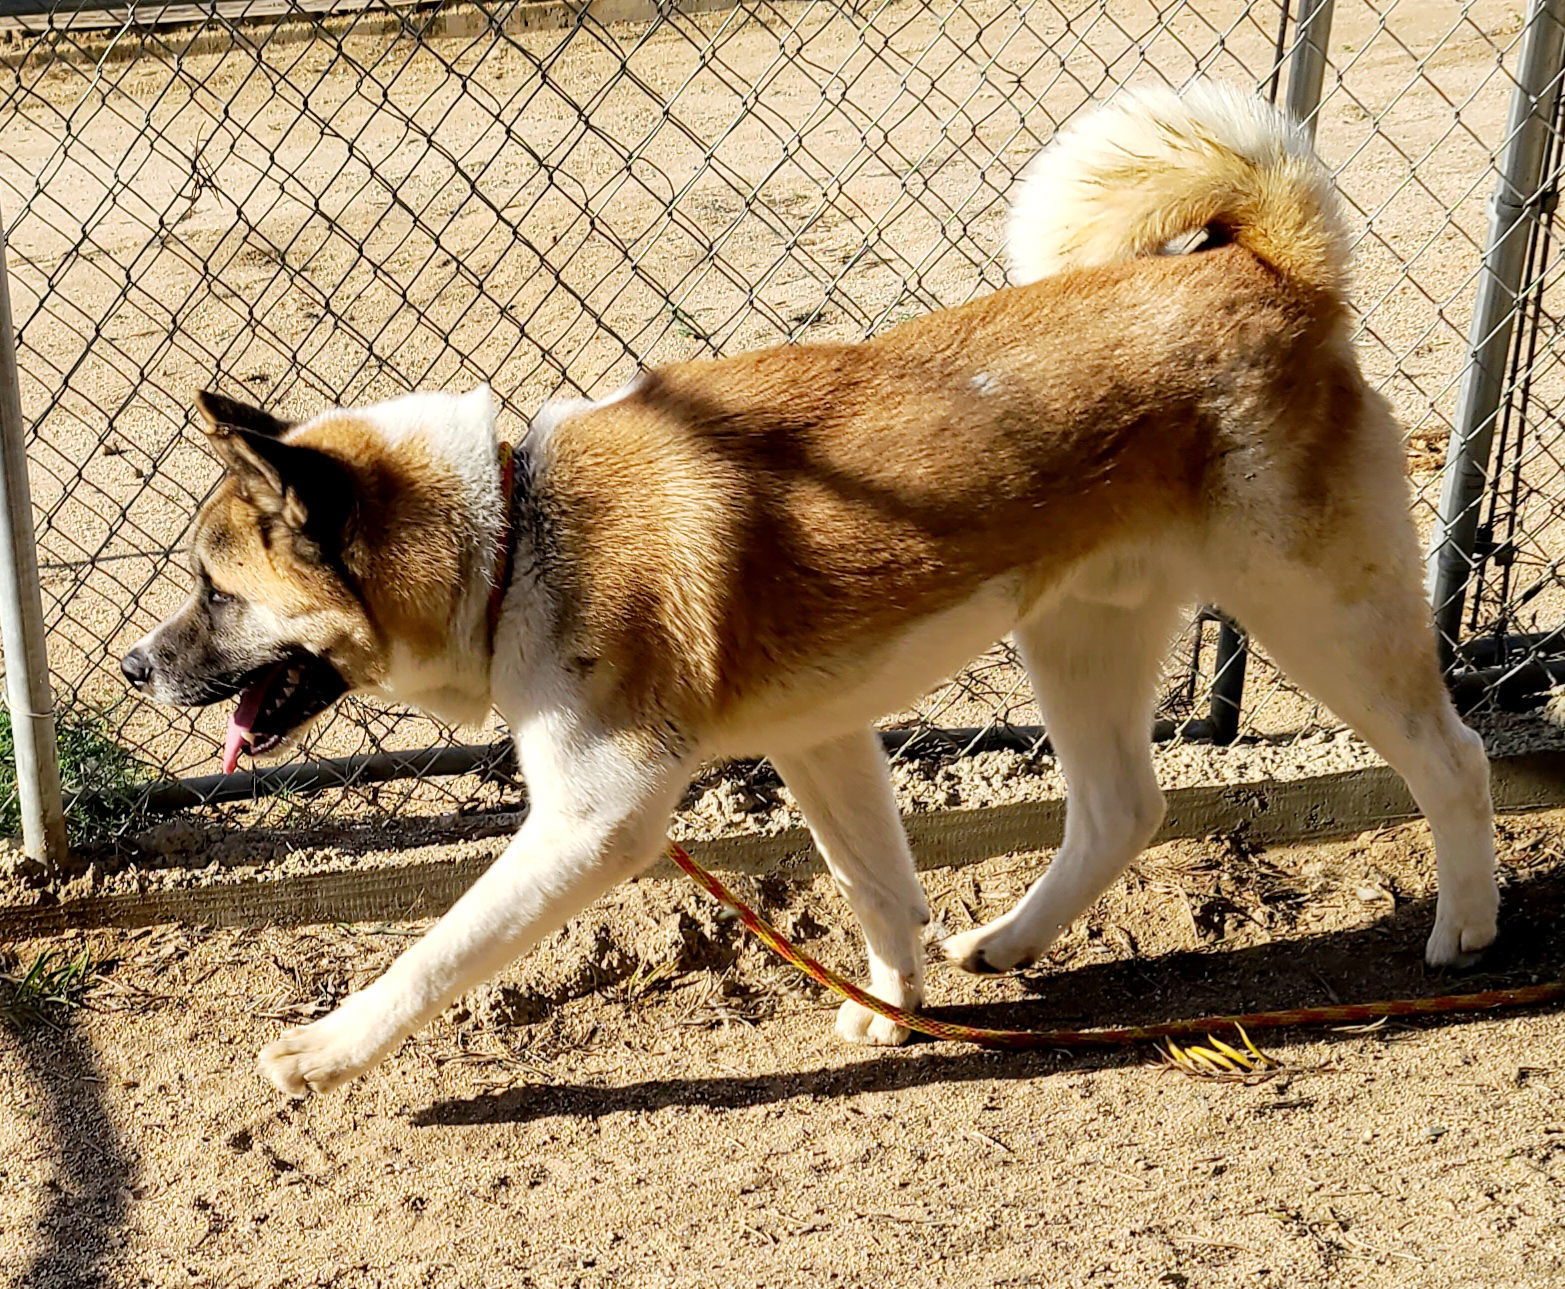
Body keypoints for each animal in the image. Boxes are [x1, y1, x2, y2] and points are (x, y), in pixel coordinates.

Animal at [118, 80, 1489, 1095]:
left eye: (214, 588)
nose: (134, 664)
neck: (515, 534)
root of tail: (1268, 270)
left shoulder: (596, 822)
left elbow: (433, 952)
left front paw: (320, 1051)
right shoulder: (822, 739)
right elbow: (875, 885)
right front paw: (895, 1006)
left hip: (1316, 613)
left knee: (1450, 753)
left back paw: (1465, 927)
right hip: (1077, 636)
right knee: (1120, 807)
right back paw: (1012, 939)